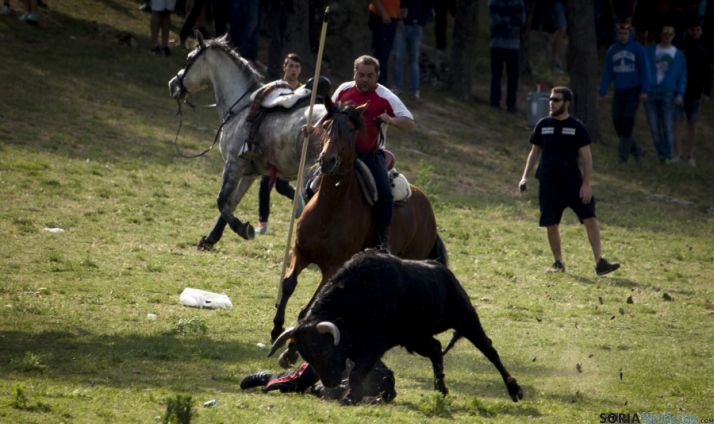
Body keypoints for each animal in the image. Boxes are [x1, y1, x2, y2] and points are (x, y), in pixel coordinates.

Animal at [168, 33, 326, 250]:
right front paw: (210, 238)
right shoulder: (250, 172)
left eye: (189, 59)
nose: (172, 84)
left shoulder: (234, 164)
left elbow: (222, 200)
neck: (241, 106)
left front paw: (242, 229)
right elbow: (231, 203)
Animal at [271, 99, 448, 360]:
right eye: (326, 126)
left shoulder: (333, 267)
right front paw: (276, 328)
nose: (327, 160)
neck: (331, 207)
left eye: (350, 130)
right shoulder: (301, 252)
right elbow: (288, 284)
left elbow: (311, 308)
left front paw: (293, 348)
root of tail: (426, 204)